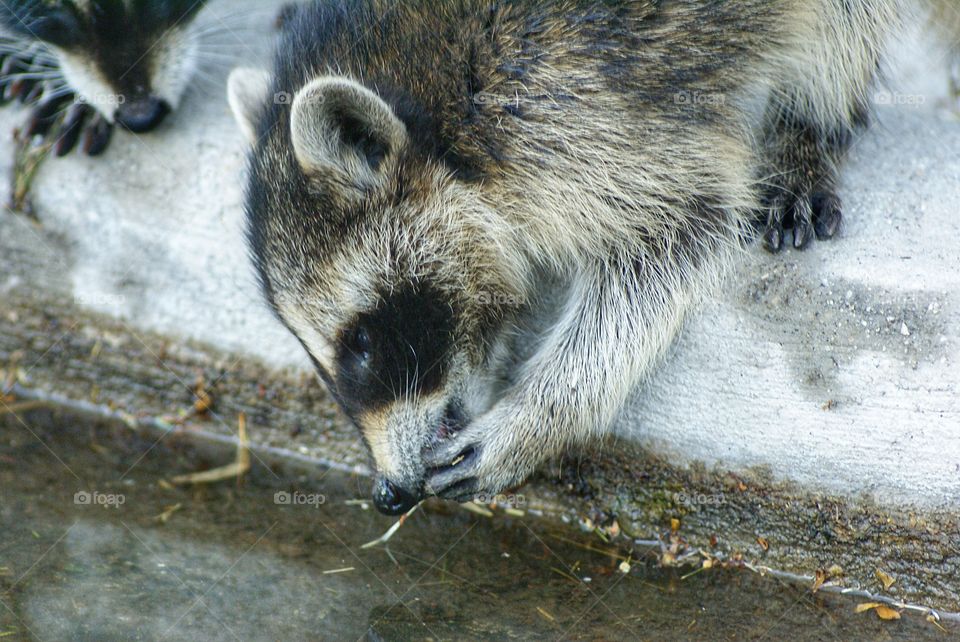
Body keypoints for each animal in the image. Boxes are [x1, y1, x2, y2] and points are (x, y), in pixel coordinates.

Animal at [229, 0, 909, 514]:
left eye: (363, 342)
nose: (389, 494)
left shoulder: (572, 104)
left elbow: (676, 232)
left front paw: (538, 417)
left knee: (843, 28)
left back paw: (808, 127)